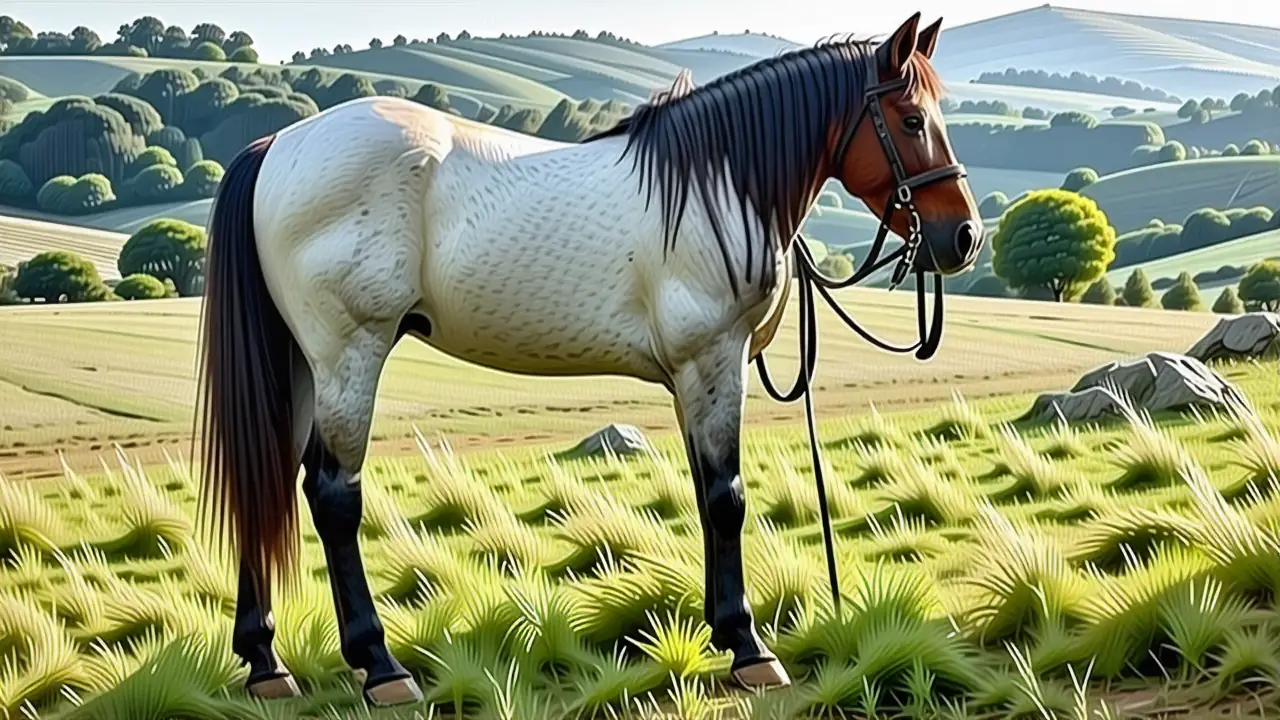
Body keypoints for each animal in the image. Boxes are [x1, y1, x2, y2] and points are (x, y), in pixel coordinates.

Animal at [195, 12, 982, 707]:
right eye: (912, 120)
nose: (965, 236)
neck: (712, 185)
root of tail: (279, 144)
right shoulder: (712, 361)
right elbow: (726, 497)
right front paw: (750, 649)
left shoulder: (690, 378)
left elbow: (705, 494)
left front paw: (723, 633)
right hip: (348, 353)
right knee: (332, 493)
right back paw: (380, 666)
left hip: (301, 363)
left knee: (266, 479)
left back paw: (266, 663)